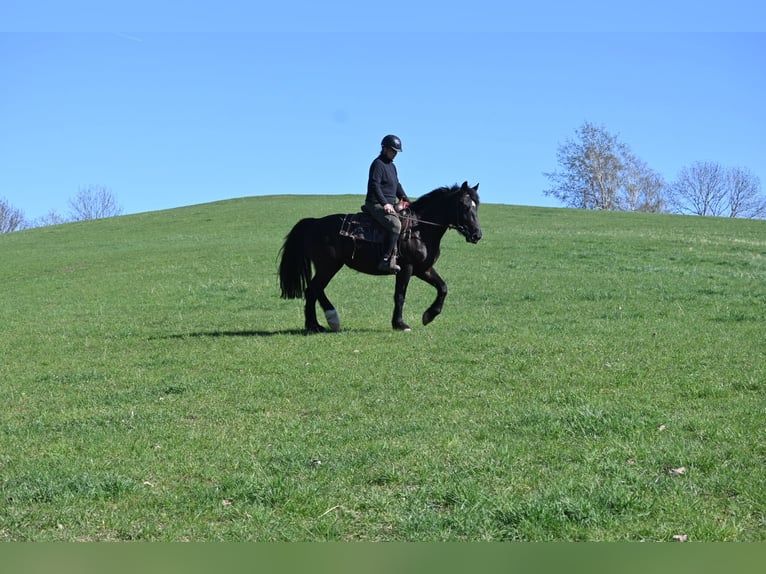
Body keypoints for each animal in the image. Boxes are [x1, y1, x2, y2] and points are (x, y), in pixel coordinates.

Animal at [278, 181, 482, 332]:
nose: (477, 235)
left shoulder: (423, 269)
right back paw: (331, 319)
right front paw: (400, 324)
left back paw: (314, 325)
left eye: (476, 206)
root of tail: (314, 223)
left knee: (311, 291)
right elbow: (400, 295)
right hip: (328, 266)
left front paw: (428, 316)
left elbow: (443, 288)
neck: (419, 229)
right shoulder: (406, 268)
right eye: (463, 205)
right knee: (315, 288)